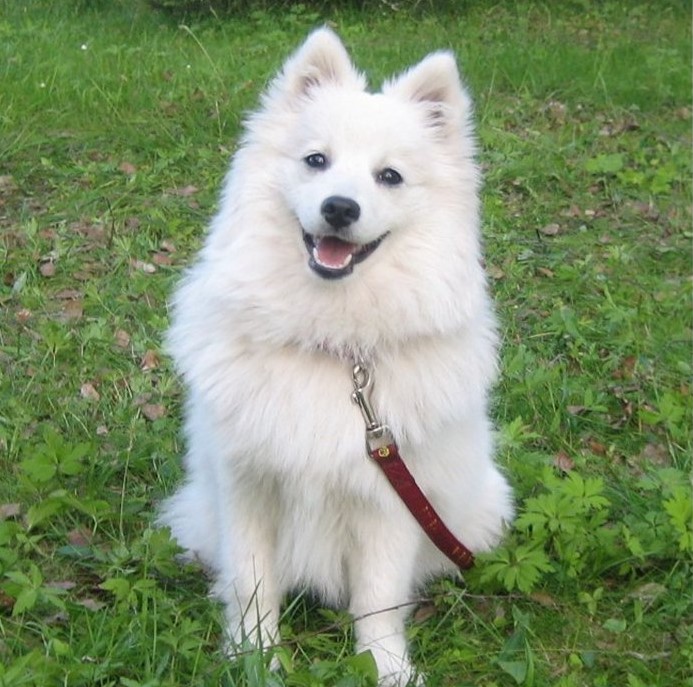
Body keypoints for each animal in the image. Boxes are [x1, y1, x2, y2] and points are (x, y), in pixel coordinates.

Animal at [159, 28, 513, 686]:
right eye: (316, 161)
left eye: (390, 176)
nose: (340, 208)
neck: (332, 346)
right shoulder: (247, 484)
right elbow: (252, 584)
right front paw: (255, 659)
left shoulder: (391, 500)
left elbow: (378, 600)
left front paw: (387, 668)